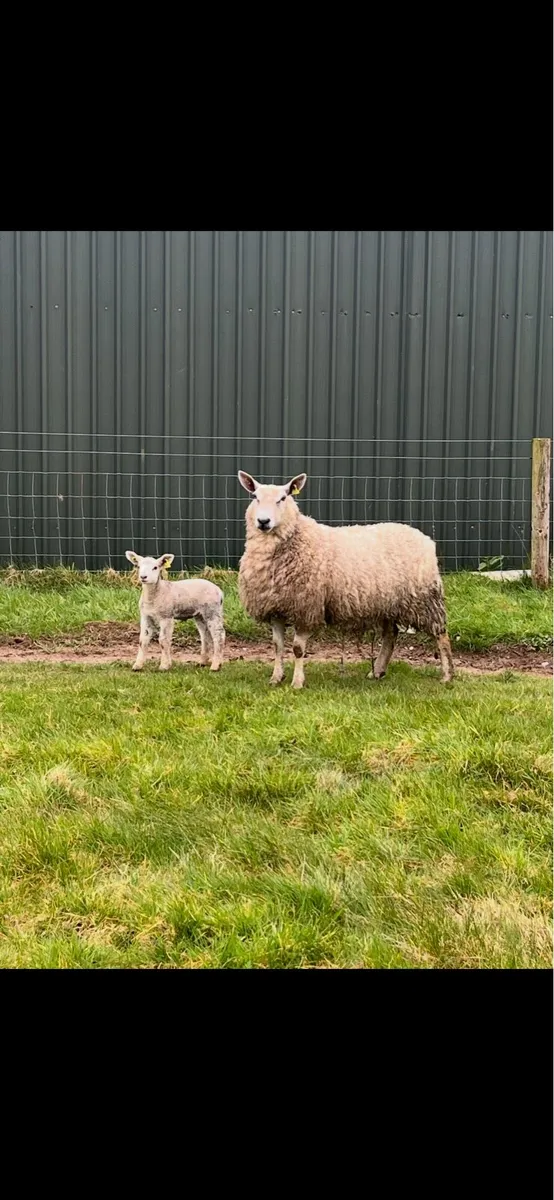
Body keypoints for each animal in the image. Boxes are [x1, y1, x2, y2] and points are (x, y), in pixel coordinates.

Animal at [237, 471, 454, 690]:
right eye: (255, 497)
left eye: (282, 498)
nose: (263, 521)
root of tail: (425, 539)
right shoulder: (275, 607)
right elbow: (277, 647)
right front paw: (276, 678)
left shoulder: (307, 608)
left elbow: (298, 649)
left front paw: (297, 682)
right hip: (387, 602)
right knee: (390, 635)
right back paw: (377, 671)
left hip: (425, 599)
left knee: (440, 634)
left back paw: (447, 675)